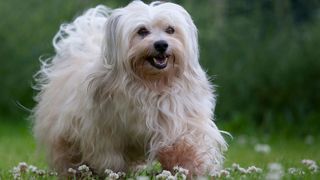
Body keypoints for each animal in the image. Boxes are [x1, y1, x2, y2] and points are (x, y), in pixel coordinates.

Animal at [32, 0, 228, 177]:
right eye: (142, 31)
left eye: (170, 29)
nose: (161, 44)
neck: (151, 83)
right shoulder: (103, 132)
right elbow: (110, 158)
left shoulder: (178, 118)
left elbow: (184, 144)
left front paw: (188, 166)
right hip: (64, 137)